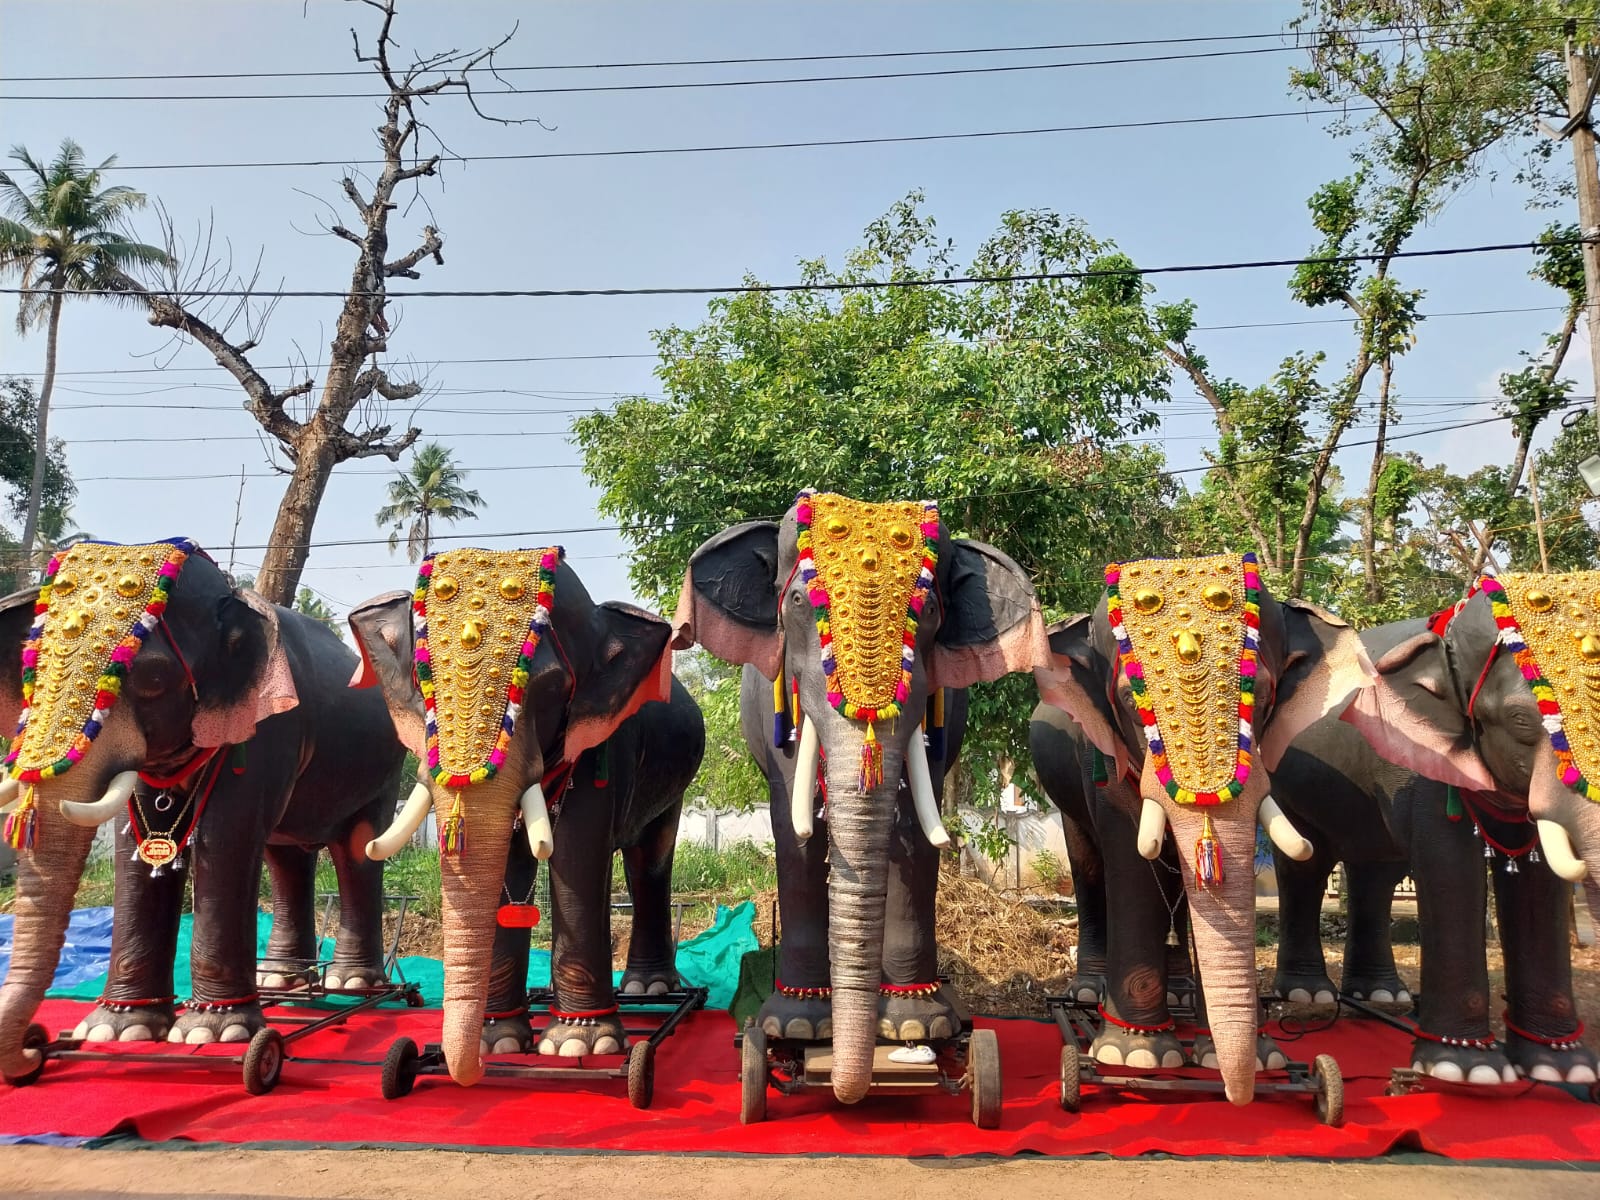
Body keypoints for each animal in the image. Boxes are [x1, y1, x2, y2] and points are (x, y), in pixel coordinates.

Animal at [0, 539, 406, 1083]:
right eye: (30, 672)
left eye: (151, 677)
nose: (28, 1049)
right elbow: (136, 847)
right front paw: (117, 1029)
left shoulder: (271, 727)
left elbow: (226, 836)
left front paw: (216, 1032)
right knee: (285, 856)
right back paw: (283, 983)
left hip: (383, 766)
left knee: (355, 848)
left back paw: (353, 984)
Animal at [346, 545, 705, 1086]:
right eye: (421, 681)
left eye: (551, 687)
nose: (461, 1066)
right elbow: (513, 865)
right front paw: (500, 1041)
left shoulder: (603, 743)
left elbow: (576, 855)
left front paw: (581, 1043)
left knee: (649, 858)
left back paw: (650, 992)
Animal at [673, 489, 1050, 1105]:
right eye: (798, 601)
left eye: (928, 612)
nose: (849, 1088)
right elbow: (794, 829)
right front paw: (795, 1027)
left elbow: (916, 829)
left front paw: (919, 1023)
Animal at [1033, 553, 1376, 1105]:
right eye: (1132, 704)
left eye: (1261, 696)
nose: (1240, 1098)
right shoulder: (1101, 754)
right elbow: (1133, 861)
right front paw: (1136, 1054)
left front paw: (1257, 1058)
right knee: (1089, 864)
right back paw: (1089, 993)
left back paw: (1180, 997)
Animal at [1342, 575, 1600, 1085]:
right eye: (1522, 719)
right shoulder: (1414, 751)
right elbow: (1449, 864)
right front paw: (1464, 1068)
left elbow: (1538, 878)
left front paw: (1563, 1068)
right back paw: (1314, 998)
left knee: (1374, 871)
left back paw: (1380, 999)